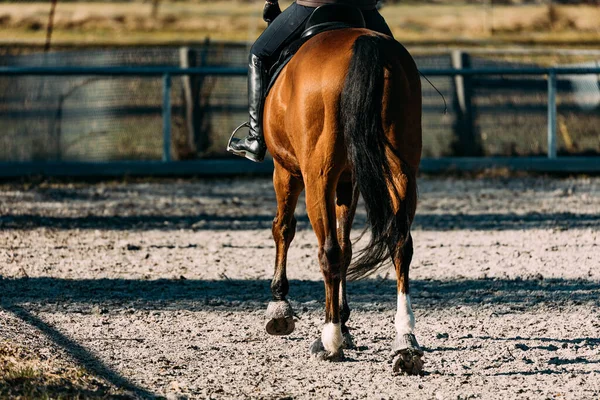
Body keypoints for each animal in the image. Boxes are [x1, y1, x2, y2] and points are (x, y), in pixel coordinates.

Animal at [262, 28, 422, 376]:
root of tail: (366, 42)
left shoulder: (286, 170)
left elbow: (284, 228)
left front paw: (279, 306)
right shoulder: (349, 183)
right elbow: (348, 247)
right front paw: (346, 322)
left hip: (317, 176)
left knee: (328, 252)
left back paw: (329, 339)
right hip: (401, 171)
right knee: (400, 244)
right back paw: (405, 342)